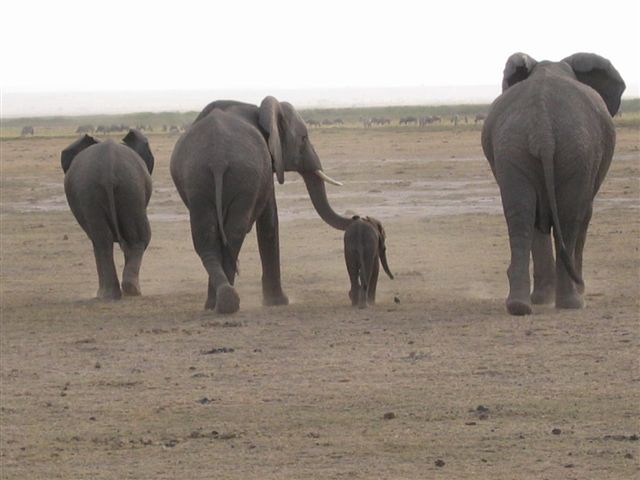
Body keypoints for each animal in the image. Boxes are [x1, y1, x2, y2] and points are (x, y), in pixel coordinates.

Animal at [61, 129, 155, 298]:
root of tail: (108, 169)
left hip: (121, 188)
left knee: (109, 240)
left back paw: (120, 293)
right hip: (125, 188)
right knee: (125, 239)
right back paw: (122, 292)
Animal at [170, 97, 350, 316]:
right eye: (304, 138)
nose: (359, 218)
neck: (260, 110)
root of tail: (217, 159)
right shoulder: (266, 169)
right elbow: (270, 221)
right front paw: (279, 302)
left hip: (198, 178)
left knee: (207, 238)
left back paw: (217, 302)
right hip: (242, 175)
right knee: (233, 234)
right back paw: (228, 301)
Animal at [480, 51, 624, 316]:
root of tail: (543, 127)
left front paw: (541, 299)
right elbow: (584, 214)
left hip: (513, 146)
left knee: (521, 215)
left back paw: (519, 305)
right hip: (577, 150)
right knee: (571, 217)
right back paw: (573, 302)